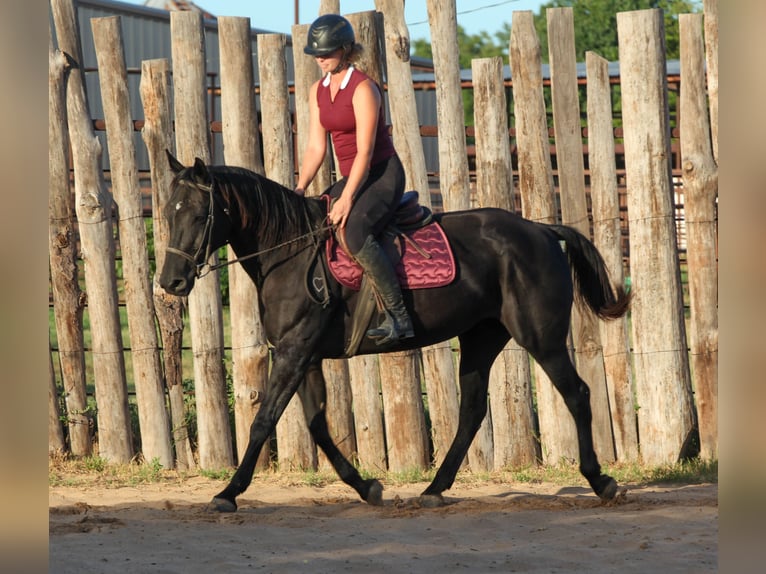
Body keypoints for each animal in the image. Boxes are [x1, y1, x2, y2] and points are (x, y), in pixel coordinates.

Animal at [159, 152, 631, 513]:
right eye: (167, 213)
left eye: (200, 215)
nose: (171, 281)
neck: (290, 252)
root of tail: (540, 230)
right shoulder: (303, 355)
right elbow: (316, 424)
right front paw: (366, 486)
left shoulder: (294, 351)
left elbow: (264, 420)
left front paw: (228, 493)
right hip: (480, 338)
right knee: (472, 410)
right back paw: (435, 488)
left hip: (541, 339)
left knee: (577, 395)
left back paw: (600, 480)